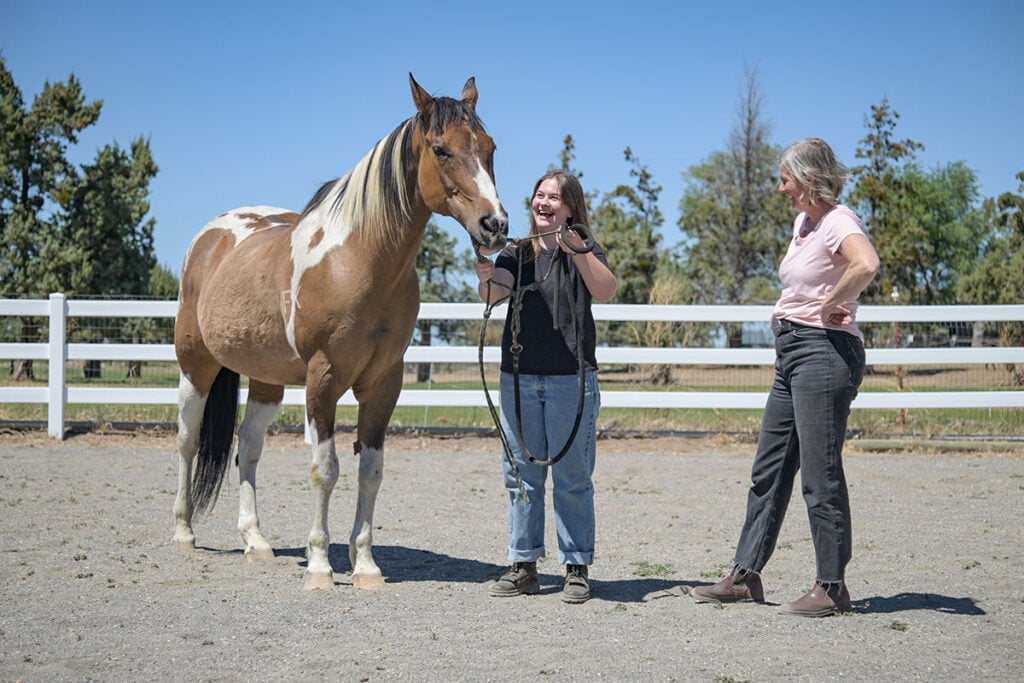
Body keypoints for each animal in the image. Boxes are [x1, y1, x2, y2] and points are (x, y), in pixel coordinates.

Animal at [172, 74, 508, 589]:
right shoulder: (323, 380)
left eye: (490, 147)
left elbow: (371, 470)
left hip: (266, 381)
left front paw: (365, 565)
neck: (357, 261)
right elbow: (324, 469)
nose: (495, 225)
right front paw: (320, 565)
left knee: (247, 450)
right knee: (188, 442)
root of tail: (211, 236)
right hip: (196, 368)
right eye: (441, 149)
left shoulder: (384, 383)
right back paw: (184, 532)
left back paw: (256, 541)